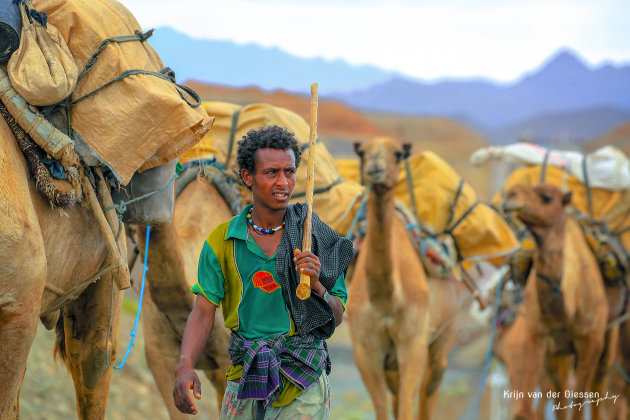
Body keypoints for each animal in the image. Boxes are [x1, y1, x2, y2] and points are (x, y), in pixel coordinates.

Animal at [346, 136, 460, 418]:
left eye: (398, 153)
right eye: (362, 152)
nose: (375, 168)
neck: (387, 300)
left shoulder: (414, 344)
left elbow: (409, 407)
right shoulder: (366, 352)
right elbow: (383, 410)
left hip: (443, 336)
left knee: (431, 389)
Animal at [504, 185, 616, 420]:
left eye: (546, 197)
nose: (510, 195)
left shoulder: (591, 341)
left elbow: (579, 407)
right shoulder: (537, 335)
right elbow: (524, 411)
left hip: (607, 342)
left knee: (598, 386)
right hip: (558, 354)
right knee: (561, 394)